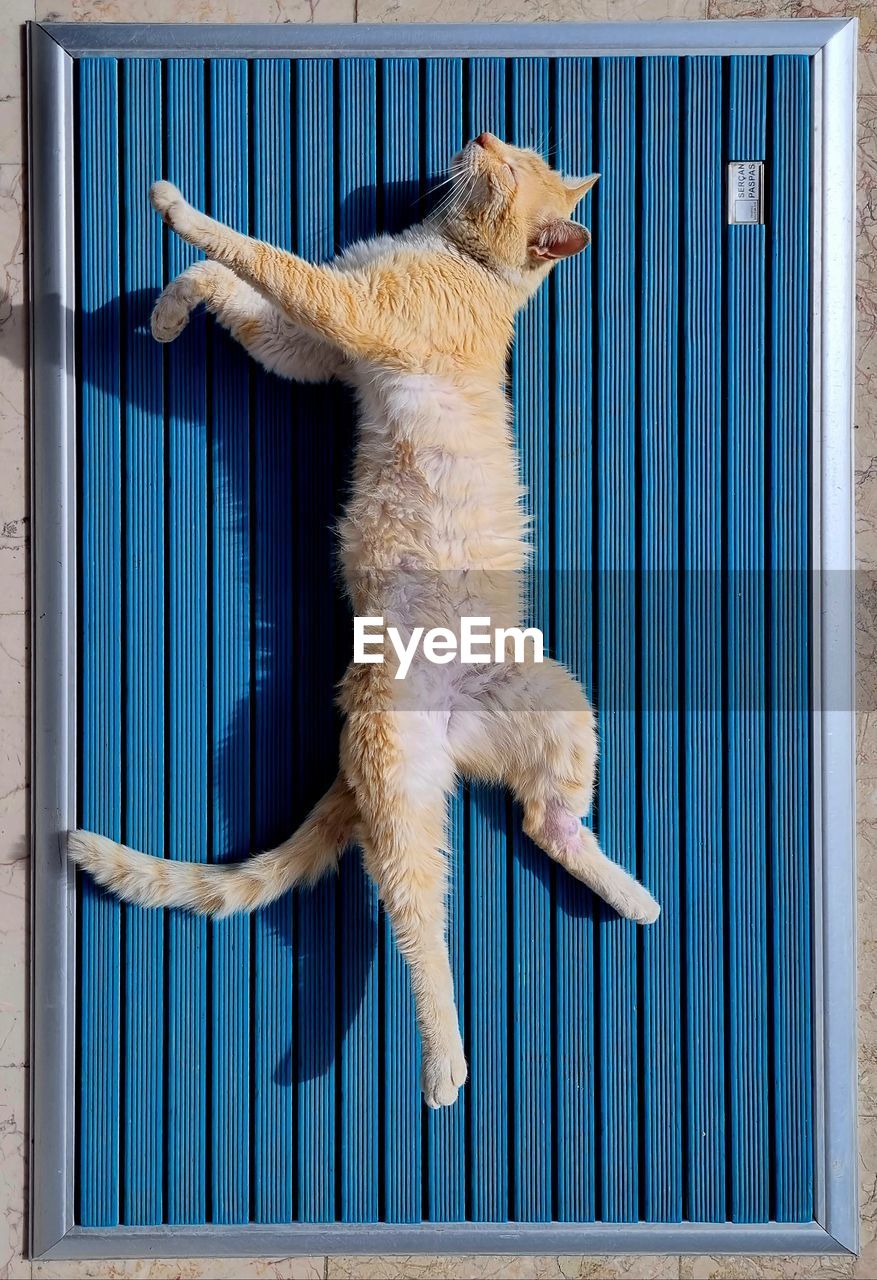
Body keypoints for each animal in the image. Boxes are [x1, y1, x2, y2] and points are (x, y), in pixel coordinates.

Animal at [68, 132, 655, 1111]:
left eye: (510, 164)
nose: (480, 138)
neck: (469, 264)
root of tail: (450, 727)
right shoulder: (314, 351)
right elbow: (233, 290)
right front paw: (169, 311)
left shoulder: (354, 313)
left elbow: (258, 255)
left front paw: (175, 207)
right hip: (558, 715)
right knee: (545, 823)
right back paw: (630, 896)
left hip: (428, 768)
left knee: (419, 922)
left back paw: (444, 1065)